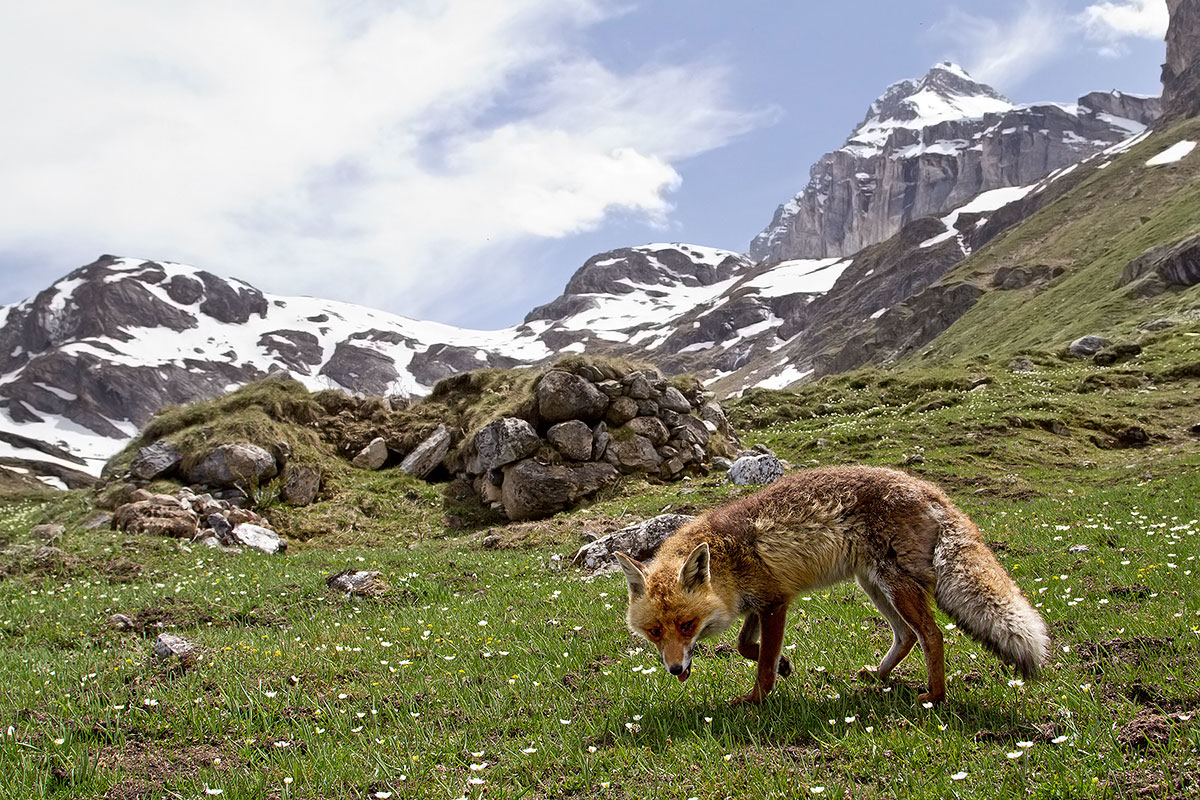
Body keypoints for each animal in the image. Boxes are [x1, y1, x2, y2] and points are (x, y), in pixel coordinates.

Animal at [616, 465, 1049, 705]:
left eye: (687, 626)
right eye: (655, 632)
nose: (674, 669)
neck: (727, 563)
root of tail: (929, 489)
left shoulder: (774, 603)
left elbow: (762, 666)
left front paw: (756, 699)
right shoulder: (762, 601)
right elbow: (744, 646)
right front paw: (784, 665)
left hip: (895, 586)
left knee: (932, 635)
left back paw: (935, 697)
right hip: (874, 585)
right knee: (907, 636)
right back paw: (878, 677)